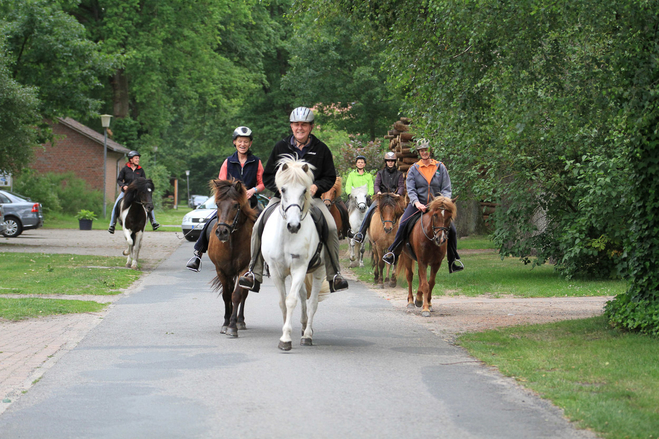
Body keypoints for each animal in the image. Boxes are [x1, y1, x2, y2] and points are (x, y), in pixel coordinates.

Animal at [208, 180, 260, 338]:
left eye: (236, 205)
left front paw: (232, 326)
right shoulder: (221, 270)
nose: (222, 232)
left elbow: (236, 295)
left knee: (243, 294)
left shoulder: (244, 269)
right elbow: (226, 295)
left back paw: (240, 321)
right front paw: (225, 324)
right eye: (218, 204)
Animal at [262, 156, 330, 352]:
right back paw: (303, 326)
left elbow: (291, 300)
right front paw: (286, 331)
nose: (293, 226)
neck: (287, 237)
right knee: (303, 296)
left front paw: (285, 338)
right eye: (283, 189)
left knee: (312, 302)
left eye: (305, 190)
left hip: (319, 270)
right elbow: (282, 302)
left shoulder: (300, 268)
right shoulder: (276, 271)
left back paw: (307, 335)